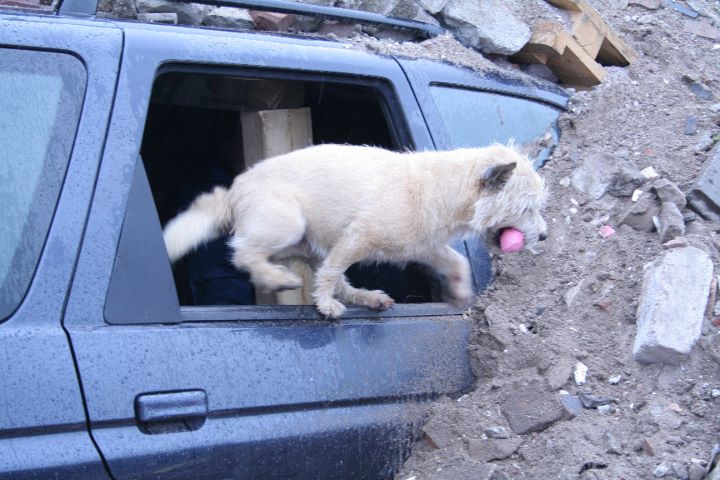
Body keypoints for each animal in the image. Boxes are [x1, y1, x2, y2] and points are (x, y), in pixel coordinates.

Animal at [163, 143, 548, 318]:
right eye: (526, 208)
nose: (543, 236)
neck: (440, 188)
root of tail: (234, 191)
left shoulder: (423, 247)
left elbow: (457, 262)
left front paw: (461, 292)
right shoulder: (356, 237)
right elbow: (331, 275)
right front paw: (324, 306)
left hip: (307, 244)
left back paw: (368, 297)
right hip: (289, 222)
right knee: (244, 254)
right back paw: (278, 279)